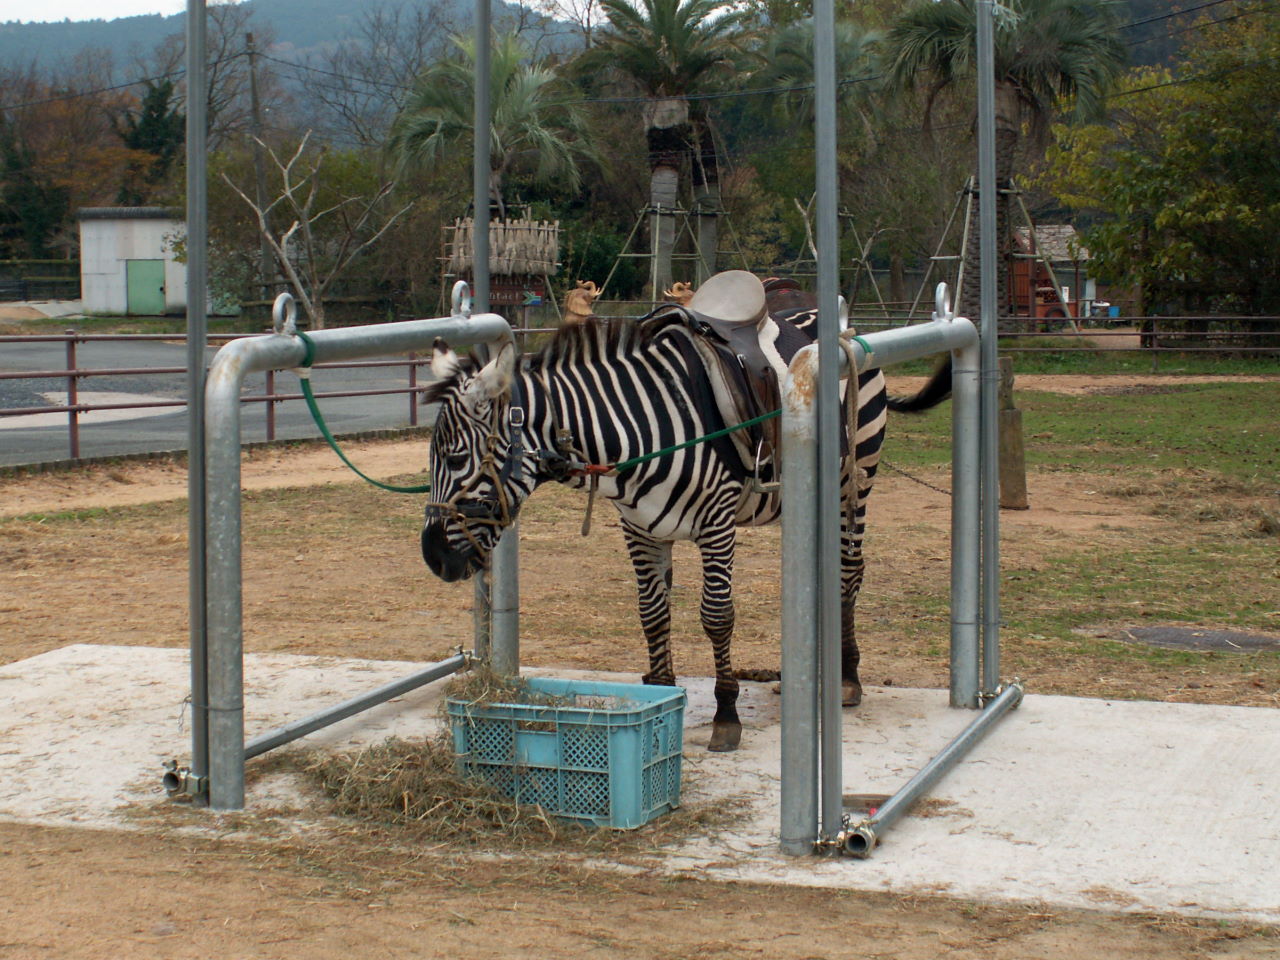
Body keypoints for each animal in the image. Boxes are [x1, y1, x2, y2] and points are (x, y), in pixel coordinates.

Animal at [419, 281, 952, 757]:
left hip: (855, 478)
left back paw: (846, 679)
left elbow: (717, 616)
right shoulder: (639, 529)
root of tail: (829, 316)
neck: (639, 428)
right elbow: (652, 614)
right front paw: (657, 703)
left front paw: (726, 716)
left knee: (849, 570)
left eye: (458, 456)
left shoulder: (717, 523)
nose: (433, 557)